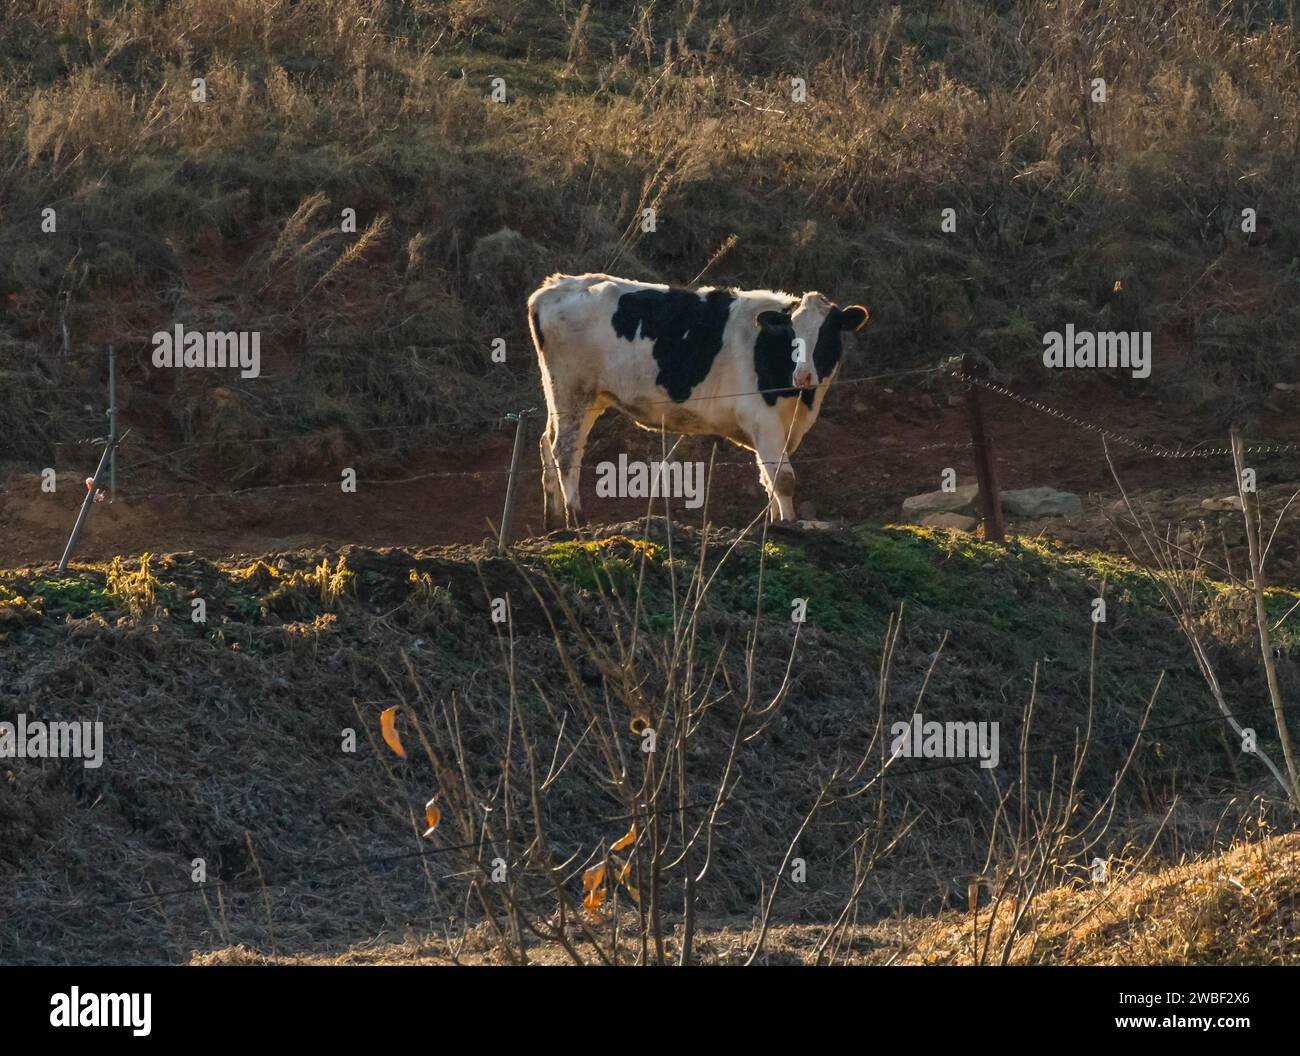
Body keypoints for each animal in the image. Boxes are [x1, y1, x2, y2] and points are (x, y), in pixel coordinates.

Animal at [527, 272, 869, 528]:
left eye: (827, 334)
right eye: (791, 335)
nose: (804, 375)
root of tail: (556, 286)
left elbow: (768, 478)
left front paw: (775, 523)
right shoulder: (763, 419)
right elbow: (782, 479)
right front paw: (788, 525)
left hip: (583, 396)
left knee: (548, 442)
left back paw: (554, 522)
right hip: (573, 389)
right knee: (565, 450)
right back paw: (577, 519)